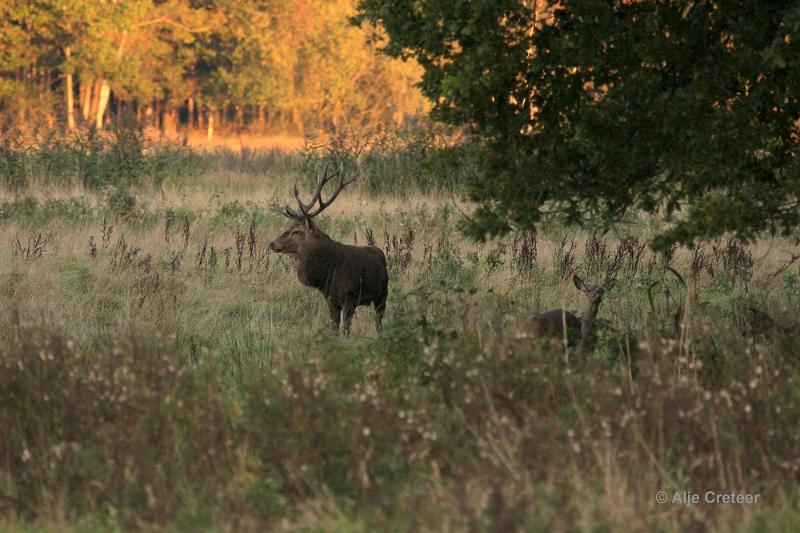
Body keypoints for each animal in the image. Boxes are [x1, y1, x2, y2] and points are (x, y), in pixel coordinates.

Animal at [268, 164, 390, 334]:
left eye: (296, 231)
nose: (272, 244)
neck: (329, 273)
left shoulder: (350, 297)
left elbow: (345, 330)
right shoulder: (330, 299)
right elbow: (334, 329)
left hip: (383, 294)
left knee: (378, 322)